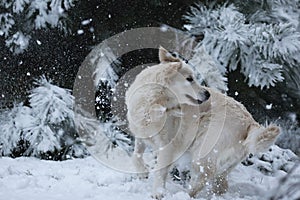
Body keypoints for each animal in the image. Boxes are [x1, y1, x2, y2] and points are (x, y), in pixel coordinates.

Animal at [124, 47, 278, 198]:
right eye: (189, 79)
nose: (207, 94)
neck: (154, 102)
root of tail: (250, 122)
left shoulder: (168, 146)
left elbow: (160, 170)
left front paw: (158, 192)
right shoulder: (142, 133)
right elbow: (136, 154)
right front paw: (142, 172)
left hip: (202, 151)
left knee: (205, 177)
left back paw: (186, 194)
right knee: (219, 183)